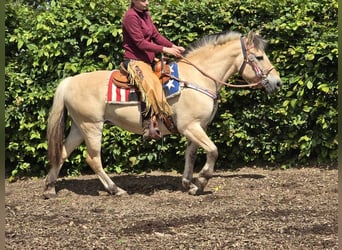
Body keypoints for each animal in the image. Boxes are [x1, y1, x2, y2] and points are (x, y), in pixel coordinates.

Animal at [44, 31, 282, 198]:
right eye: (259, 57)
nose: (277, 82)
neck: (197, 78)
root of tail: (69, 82)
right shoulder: (190, 126)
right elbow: (213, 151)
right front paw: (202, 181)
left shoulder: (197, 127)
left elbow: (191, 154)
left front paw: (189, 183)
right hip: (92, 126)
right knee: (93, 158)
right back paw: (115, 189)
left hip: (79, 127)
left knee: (62, 153)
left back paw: (49, 187)